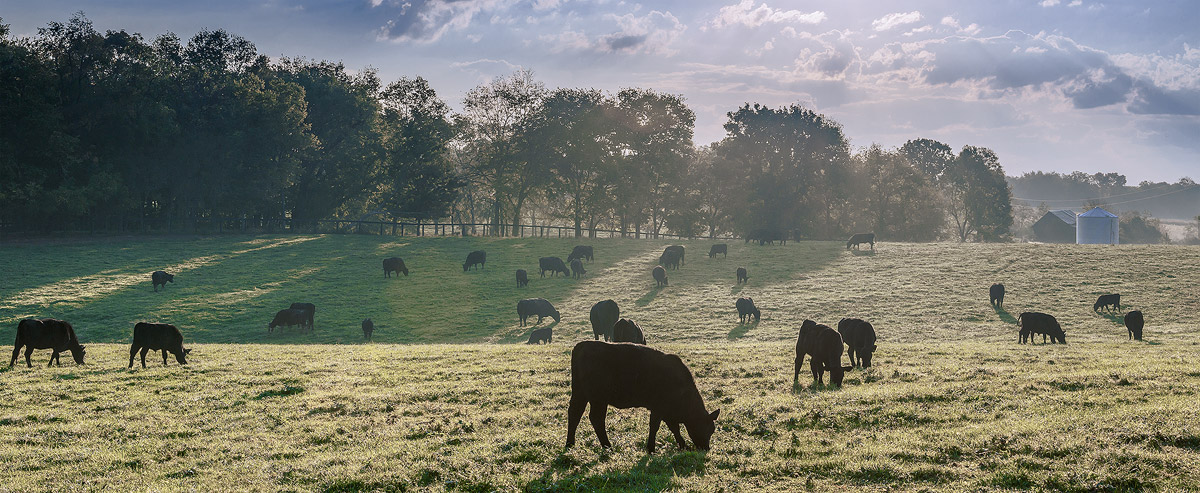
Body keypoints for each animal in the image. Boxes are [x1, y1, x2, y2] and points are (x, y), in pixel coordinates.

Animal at [564, 340, 715, 453]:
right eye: (708, 428)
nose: (706, 448)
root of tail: (582, 345)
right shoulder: (658, 408)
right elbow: (655, 426)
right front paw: (651, 449)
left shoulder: (666, 411)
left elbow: (674, 428)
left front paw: (682, 445)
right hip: (598, 398)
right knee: (596, 418)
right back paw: (608, 446)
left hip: (580, 393)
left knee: (575, 413)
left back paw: (570, 444)